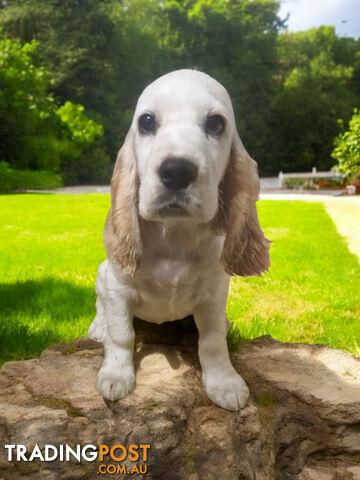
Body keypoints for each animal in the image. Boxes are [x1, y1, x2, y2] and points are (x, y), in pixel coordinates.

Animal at [88, 69, 270, 410]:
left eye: (216, 123)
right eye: (146, 121)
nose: (176, 171)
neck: (174, 234)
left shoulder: (214, 294)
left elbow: (212, 341)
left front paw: (225, 383)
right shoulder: (117, 287)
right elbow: (121, 334)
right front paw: (116, 376)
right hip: (102, 273)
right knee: (100, 306)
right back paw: (97, 327)